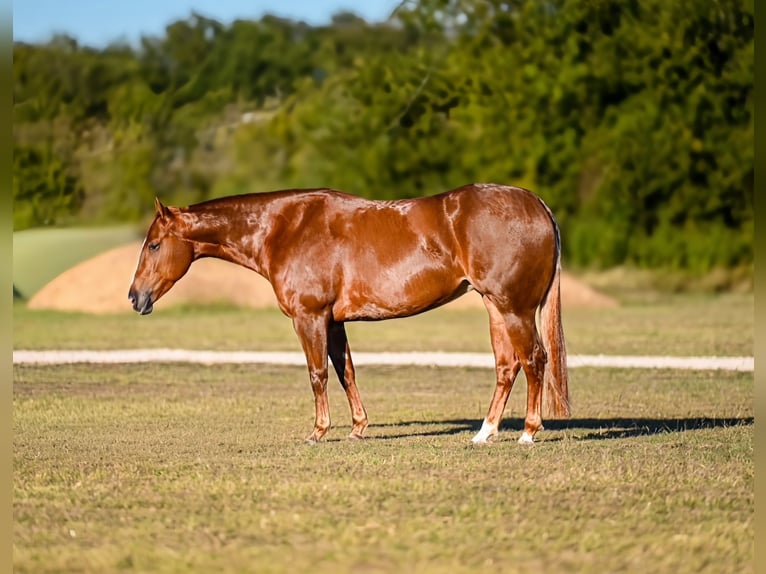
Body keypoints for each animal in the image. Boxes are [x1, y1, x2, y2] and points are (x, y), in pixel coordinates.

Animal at [128, 183, 570, 445]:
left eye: (154, 244)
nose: (135, 297)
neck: (285, 228)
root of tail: (536, 204)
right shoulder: (334, 320)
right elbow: (346, 372)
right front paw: (358, 428)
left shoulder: (309, 317)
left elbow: (318, 374)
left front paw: (319, 431)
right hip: (496, 307)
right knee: (507, 366)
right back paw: (484, 433)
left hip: (514, 309)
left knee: (534, 360)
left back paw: (528, 432)